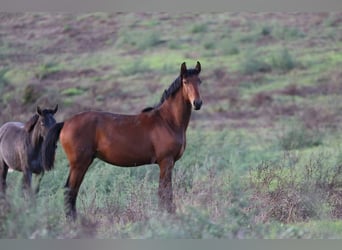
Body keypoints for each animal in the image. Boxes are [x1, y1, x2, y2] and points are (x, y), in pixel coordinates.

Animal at [42, 61, 203, 220]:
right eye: (185, 81)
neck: (167, 121)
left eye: (199, 81)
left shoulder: (169, 163)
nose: (197, 103)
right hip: (79, 164)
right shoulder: (166, 162)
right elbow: (165, 192)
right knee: (70, 190)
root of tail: (65, 123)